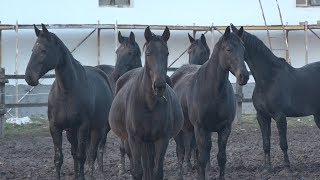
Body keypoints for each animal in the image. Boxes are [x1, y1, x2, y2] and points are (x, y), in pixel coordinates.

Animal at [24, 24, 114, 180]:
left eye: (43, 51)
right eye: (32, 50)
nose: (29, 77)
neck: (66, 91)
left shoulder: (83, 127)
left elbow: (82, 156)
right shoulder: (55, 128)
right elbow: (59, 158)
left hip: (97, 129)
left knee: (92, 154)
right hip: (71, 132)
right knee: (75, 152)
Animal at [109, 26, 184, 180]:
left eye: (167, 53)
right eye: (148, 53)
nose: (159, 86)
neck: (149, 103)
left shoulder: (162, 139)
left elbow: (157, 172)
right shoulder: (135, 139)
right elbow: (138, 171)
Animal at [171, 26, 249, 179]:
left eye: (243, 48)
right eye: (228, 49)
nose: (244, 76)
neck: (214, 92)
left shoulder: (224, 129)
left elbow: (221, 157)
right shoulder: (201, 129)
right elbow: (201, 157)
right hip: (180, 129)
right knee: (181, 151)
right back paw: (182, 172)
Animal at [230, 23, 320, 174]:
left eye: (240, 46)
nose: (242, 78)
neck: (268, 79)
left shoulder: (280, 116)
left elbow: (283, 143)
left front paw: (287, 167)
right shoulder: (262, 116)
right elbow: (266, 143)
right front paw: (267, 168)